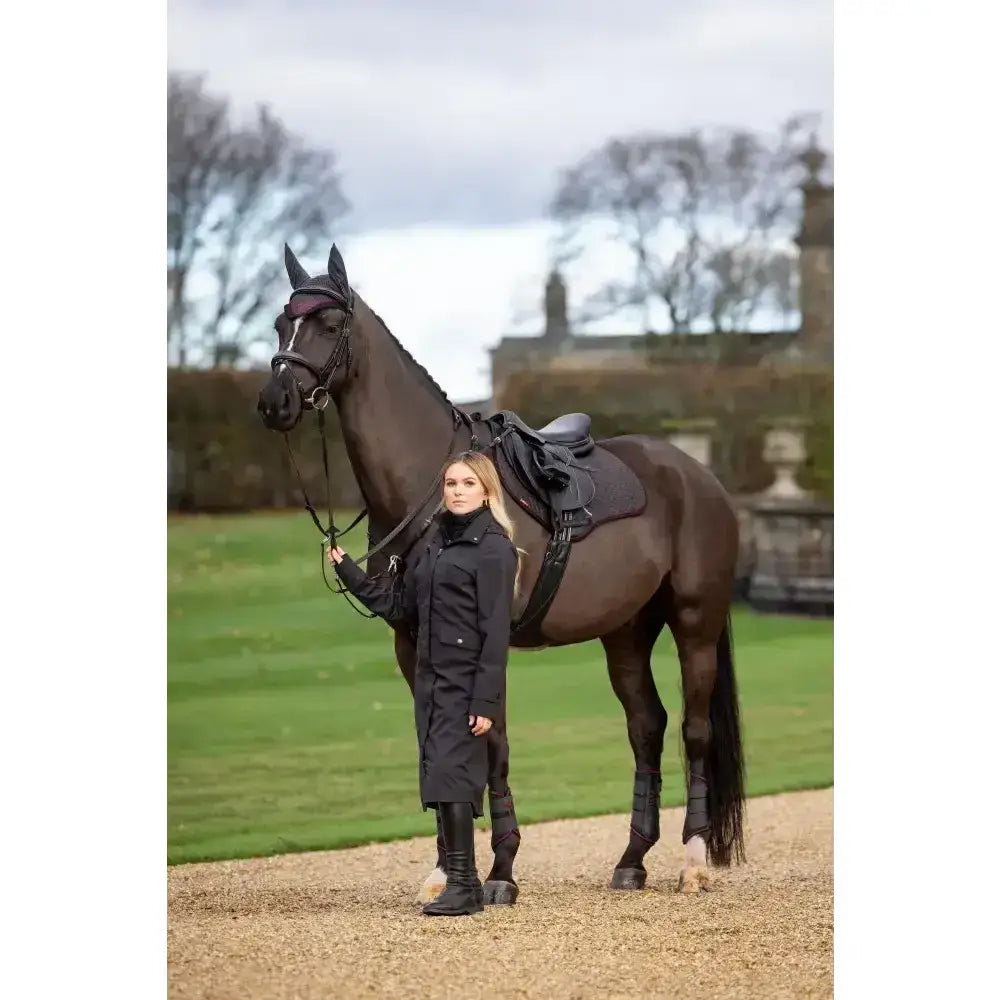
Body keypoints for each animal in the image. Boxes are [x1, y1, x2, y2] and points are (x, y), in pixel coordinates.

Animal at [257, 242, 746, 902]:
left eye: (330, 325)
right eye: (281, 323)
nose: (274, 401)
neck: (438, 496)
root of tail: (698, 476)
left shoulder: (487, 646)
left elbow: (492, 747)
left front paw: (501, 871)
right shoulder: (414, 646)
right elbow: (433, 744)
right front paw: (446, 869)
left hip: (694, 623)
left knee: (694, 731)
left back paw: (692, 860)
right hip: (625, 633)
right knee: (647, 726)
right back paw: (631, 859)